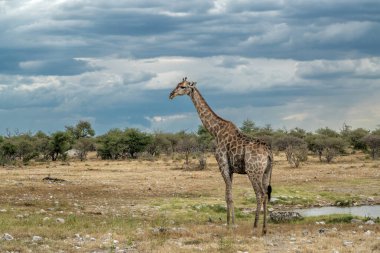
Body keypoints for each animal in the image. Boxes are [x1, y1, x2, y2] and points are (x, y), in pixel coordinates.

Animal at [170, 77, 274, 235]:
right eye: (177, 85)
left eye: (182, 86)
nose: (171, 94)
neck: (215, 131)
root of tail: (269, 153)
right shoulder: (230, 169)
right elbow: (227, 194)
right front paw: (228, 222)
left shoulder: (223, 164)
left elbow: (229, 196)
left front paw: (232, 224)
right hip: (266, 172)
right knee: (266, 194)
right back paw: (264, 229)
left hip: (253, 171)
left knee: (260, 194)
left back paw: (255, 227)